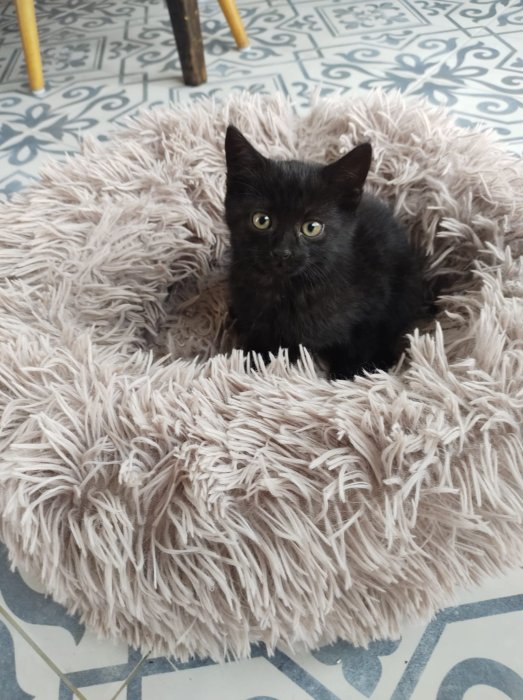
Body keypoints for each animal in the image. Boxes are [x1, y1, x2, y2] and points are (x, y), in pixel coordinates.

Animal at [224, 124, 428, 380]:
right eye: (262, 220)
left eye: (311, 227)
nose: (282, 252)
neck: (289, 292)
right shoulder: (257, 323)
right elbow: (259, 347)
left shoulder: (373, 313)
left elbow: (359, 347)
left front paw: (346, 377)